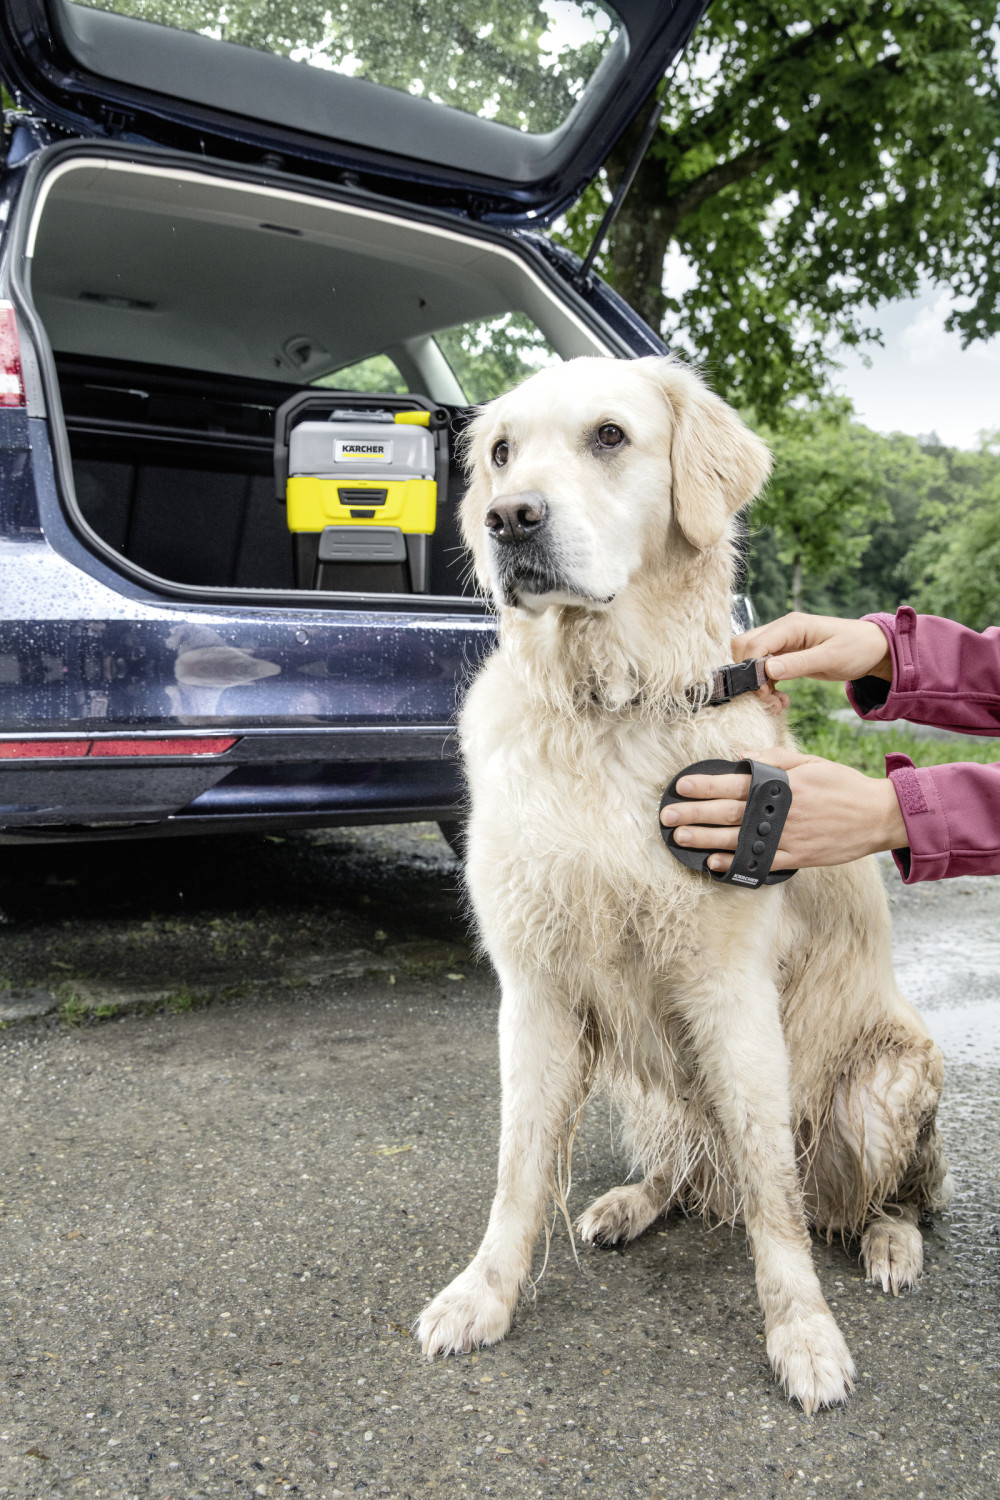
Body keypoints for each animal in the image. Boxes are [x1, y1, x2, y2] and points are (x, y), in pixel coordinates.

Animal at [416, 357, 953, 1410]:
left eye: (610, 436)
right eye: (500, 452)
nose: (509, 519)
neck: (606, 703)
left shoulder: (730, 987)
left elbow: (773, 1191)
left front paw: (802, 1332)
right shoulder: (535, 988)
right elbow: (517, 1165)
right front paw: (484, 1293)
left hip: (886, 1087)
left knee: (872, 1197)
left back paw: (890, 1245)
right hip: (645, 1084)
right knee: (690, 1168)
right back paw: (631, 1202)